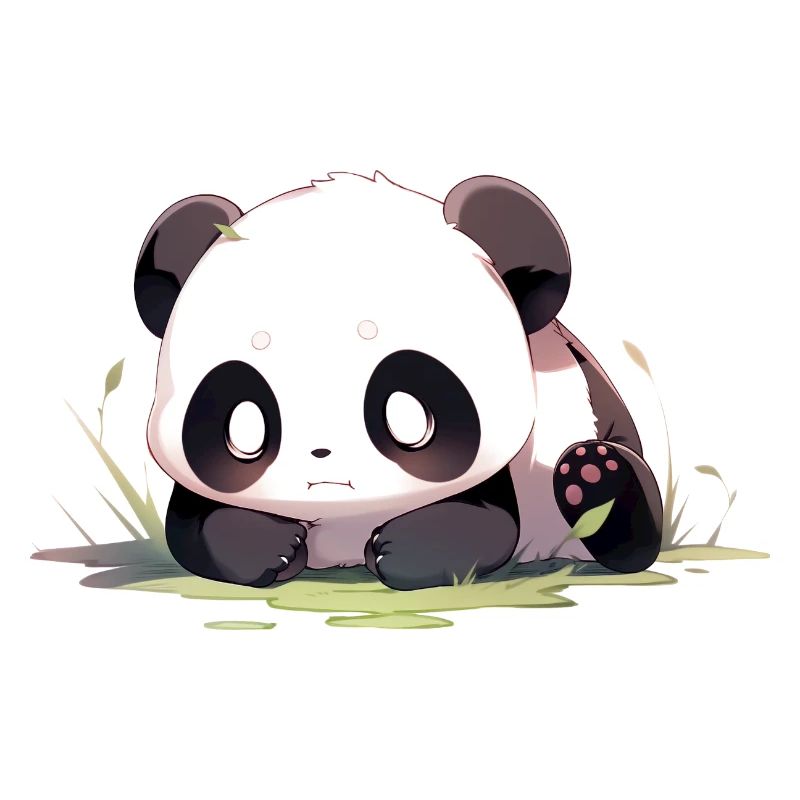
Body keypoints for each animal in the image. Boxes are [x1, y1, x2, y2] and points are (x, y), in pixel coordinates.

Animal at [134, 171, 663, 591]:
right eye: (245, 423)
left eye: (405, 412)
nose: (321, 455)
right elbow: (194, 523)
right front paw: (268, 545)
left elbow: (484, 523)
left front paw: (400, 551)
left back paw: (595, 478)